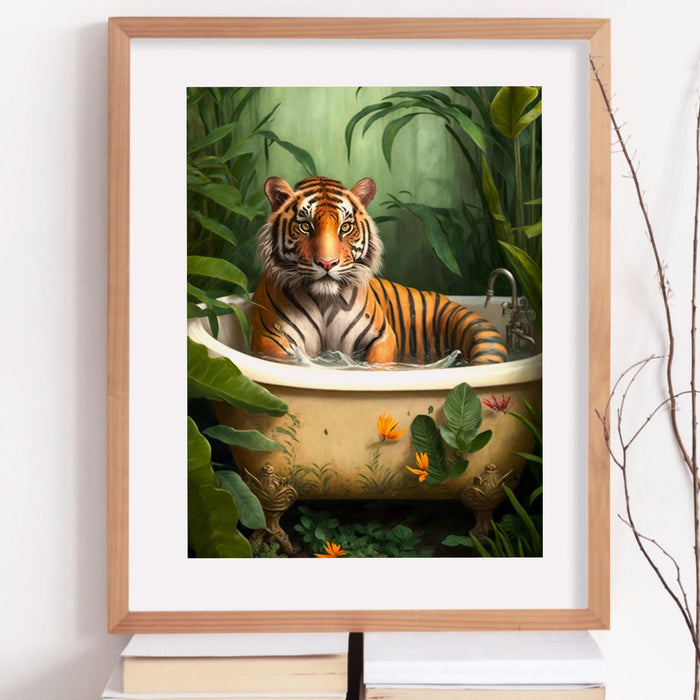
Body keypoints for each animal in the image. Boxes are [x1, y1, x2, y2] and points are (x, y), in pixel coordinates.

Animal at [251, 175, 507, 366]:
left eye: (345, 227)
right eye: (305, 226)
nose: (327, 263)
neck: (324, 301)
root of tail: (446, 301)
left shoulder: (381, 337)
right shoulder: (271, 339)